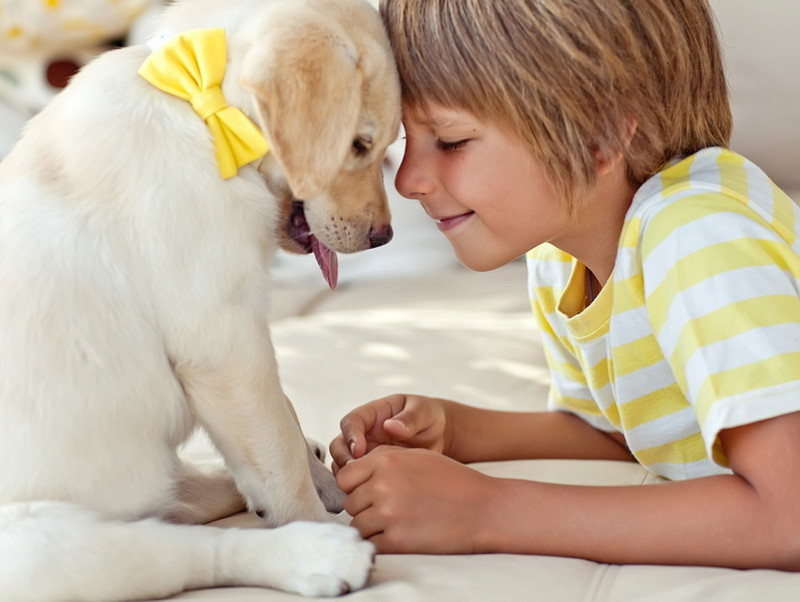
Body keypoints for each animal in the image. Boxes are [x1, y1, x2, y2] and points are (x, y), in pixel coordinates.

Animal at [0, 0, 400, 596]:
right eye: (359, 145)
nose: (384, 238)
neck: (196, 102)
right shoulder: (225, 344)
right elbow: (276, 449)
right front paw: (310, 512)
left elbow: (280, 416)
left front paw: (317, 477)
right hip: (34, 546)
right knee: (190, 550)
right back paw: (318, 552)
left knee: (178, 509)